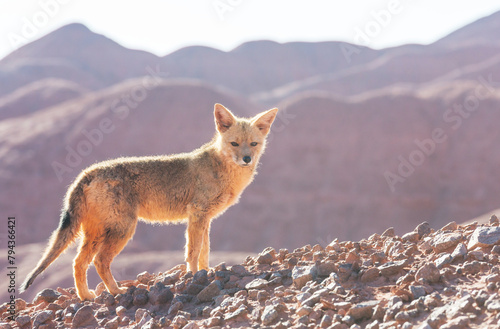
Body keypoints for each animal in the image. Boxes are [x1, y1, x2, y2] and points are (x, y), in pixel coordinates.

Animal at [20, 103, 278, 300]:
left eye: (253, 144)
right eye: (234, 143)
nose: (246, 159)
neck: (221, 169)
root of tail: (87, 172)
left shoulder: (205, 218)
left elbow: (205, 250)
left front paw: (207, 271)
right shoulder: (197, 213)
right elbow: (193, 251)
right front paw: (195, 275)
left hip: (95, 233)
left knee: (78, 263)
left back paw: (86, 297)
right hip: (122, 229)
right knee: (100, 261)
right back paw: (116, 291)